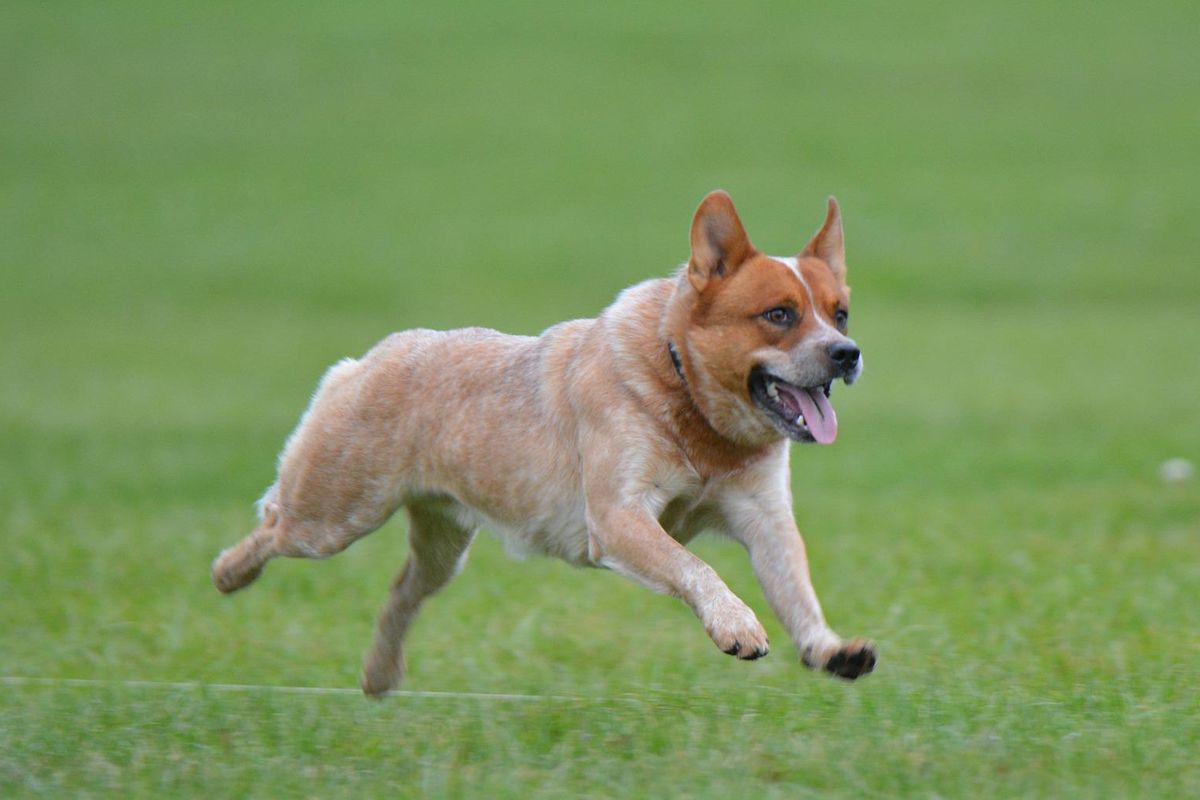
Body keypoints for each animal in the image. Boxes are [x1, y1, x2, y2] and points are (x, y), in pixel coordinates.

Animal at [211, 191, 878, 695]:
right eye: (779, 314)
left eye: (840, 313)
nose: (847, 353)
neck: (694, 409)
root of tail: (374, 356)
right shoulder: (617, 516)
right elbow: (695, 565)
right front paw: (737, 626)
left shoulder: (764, 516)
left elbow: (795, 586)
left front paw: (830, 649)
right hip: (334, 515)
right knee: (273, 524)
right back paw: (228, 574)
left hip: (444, 546)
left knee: (402, 591)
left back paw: (380, 677)